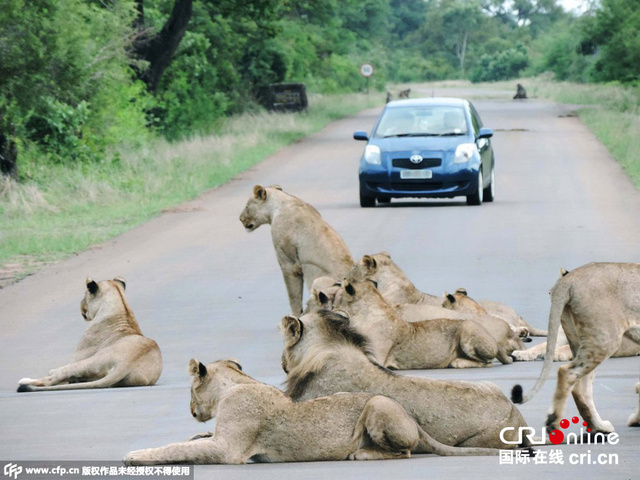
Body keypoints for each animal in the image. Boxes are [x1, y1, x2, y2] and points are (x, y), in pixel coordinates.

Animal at [125, 358, 496, 464]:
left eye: (190, 390)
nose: (191, 410)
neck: (236, 385)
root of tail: (415, 422)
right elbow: (191, 440)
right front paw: (193, 432)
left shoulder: (228, 450)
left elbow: (176, 449)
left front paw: (135, 455)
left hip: (376, 403)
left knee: (404, 452)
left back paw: (360, 454)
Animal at [239, 185, 356, 316]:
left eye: (247, 205)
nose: (240, 219)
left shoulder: (289, 263)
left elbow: (293, 296)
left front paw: (295, 316)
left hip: (319, 283)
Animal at [510, 264, 640, 434]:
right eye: (549, 292)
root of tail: (571, 282)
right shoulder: (560, 337)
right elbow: (542, 346)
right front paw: (523, 353)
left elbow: (557, 349)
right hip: (603, 340)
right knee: (575, 381)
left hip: (602, 341)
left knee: (578, 384)